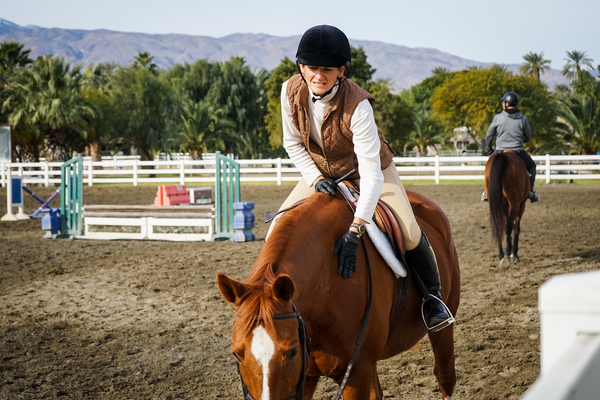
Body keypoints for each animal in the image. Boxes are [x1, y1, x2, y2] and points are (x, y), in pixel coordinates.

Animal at [218, 191, 462, 400]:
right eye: (236, 354)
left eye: (292, 352)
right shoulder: (306, 377)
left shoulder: (356, 374)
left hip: (443, 326)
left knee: (445, 376)